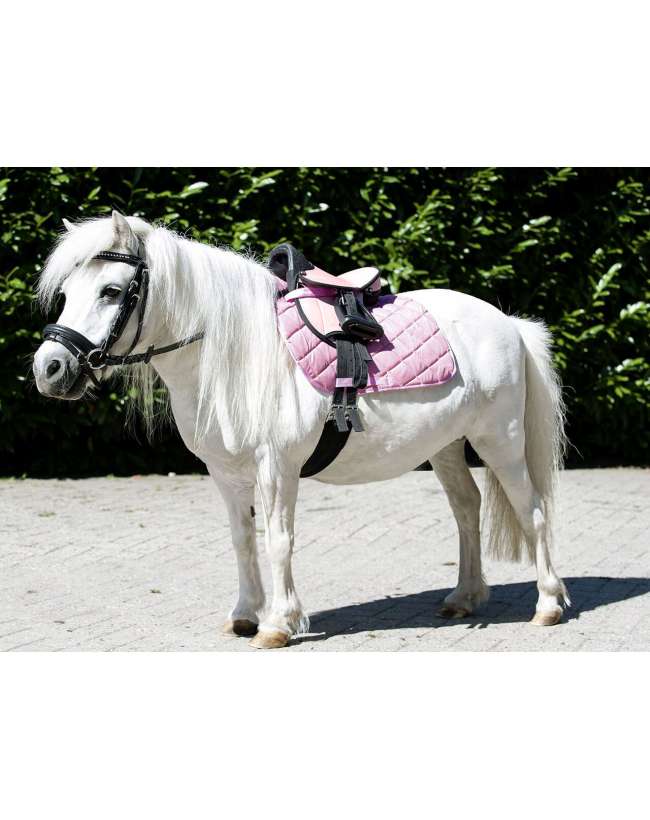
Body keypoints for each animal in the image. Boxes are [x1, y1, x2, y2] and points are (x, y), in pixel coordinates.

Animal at [32, 211, 569, 649]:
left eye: (111, 291)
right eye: (66, 294)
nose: (50, 369)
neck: (238, 353)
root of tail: (509, 323)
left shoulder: (277, 468)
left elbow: (278, 540)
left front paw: (278, 624)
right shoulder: (225, 473)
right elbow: (242, 539)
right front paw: (244, 615)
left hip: (500, 440)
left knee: (534, 510)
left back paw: (547, 604)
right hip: (447, 446)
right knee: (466, 508)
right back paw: (464, 597)